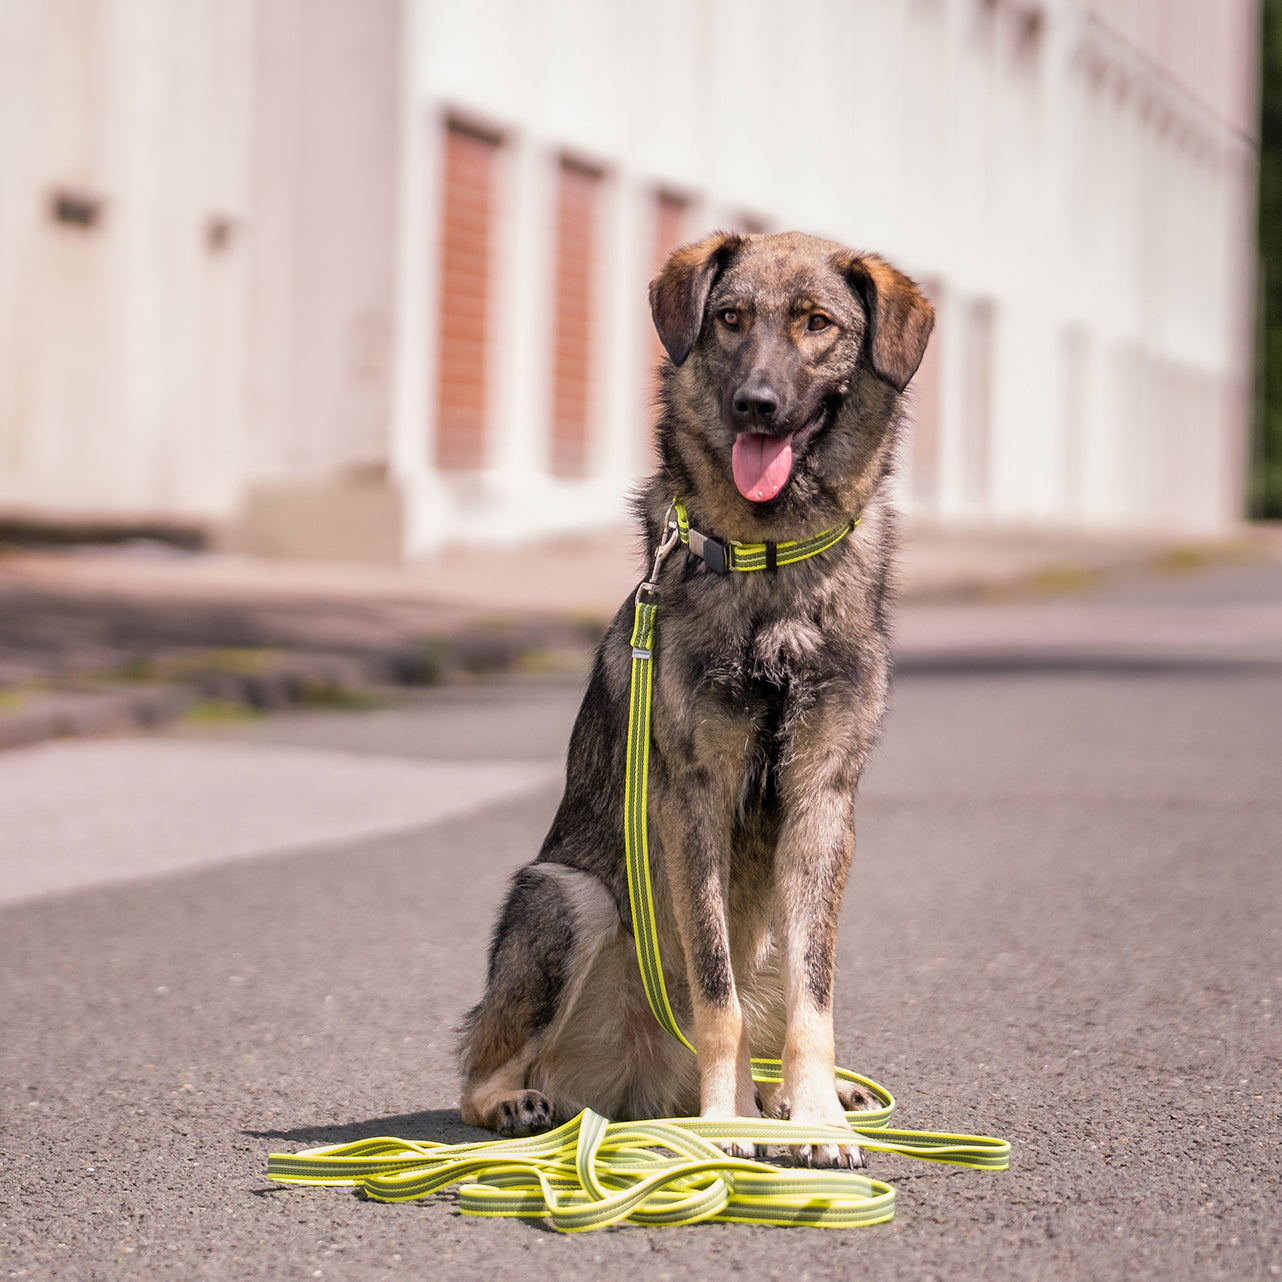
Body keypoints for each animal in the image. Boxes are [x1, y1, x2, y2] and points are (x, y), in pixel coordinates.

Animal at [461, 225, 933, 1169]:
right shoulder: (694, 803)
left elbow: (815, 996)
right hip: (566, 897)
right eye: (730, 319)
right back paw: (530, 1103)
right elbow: (716, 998)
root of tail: (641, 1093)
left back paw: (794, 1098)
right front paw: (727, 1125)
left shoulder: (822, 804)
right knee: (477, 1067)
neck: (771, 563)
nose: (756, 404)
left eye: (818, 323)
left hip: (772, 912)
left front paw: (816, 1115)